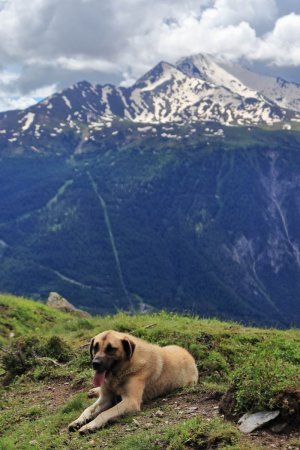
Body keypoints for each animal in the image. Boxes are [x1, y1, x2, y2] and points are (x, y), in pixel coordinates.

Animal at [69, 328, 198, 434]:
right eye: (95, 347)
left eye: (111, 349)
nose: (95, 363)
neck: (122, 371)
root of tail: (189, 354)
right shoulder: (106, 398)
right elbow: (88, 409)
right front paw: (78, 421)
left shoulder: (130, 401)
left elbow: (104, 413)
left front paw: (90, 425)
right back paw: (93, 391)